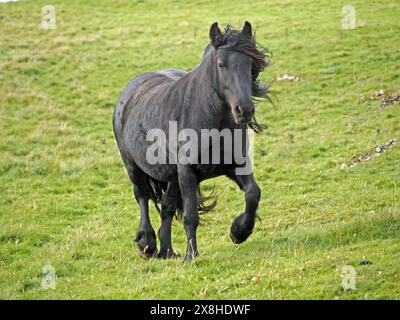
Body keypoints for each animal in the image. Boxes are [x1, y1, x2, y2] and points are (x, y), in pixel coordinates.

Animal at [112, 22, 268, 262]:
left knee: (166, 206)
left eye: (250, 64)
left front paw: (239, 232)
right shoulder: (187, 172)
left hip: (171, 176)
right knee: (142, 196)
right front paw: (191, 255)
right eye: (221, 65)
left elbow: (253, 193)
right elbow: (190, 216)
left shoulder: (236, 165)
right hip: (134, 167)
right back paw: (147, 243)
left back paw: (166, 251)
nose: (244, 110)